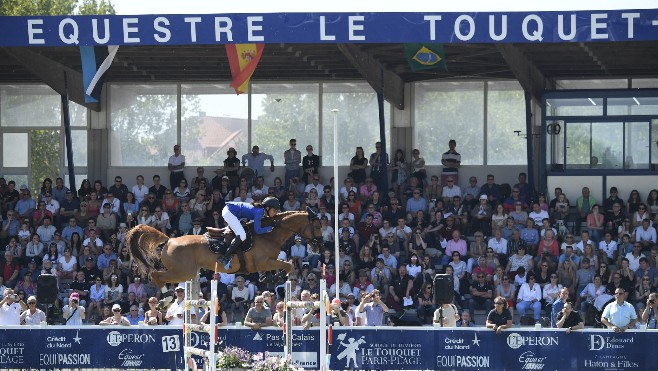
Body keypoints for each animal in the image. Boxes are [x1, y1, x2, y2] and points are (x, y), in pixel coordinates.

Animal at [125, 211, 322, 290]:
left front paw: (269, 278)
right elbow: (288, 265)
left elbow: (281, 266)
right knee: (156, 275)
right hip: (183, 272)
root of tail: (169, 240)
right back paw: (165, 300)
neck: (269, 234)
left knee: (157, 276)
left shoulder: (266, 263)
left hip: (184, 272)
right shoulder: (263, 262)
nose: (319, 244)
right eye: (317, 225)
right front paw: (279, 276)